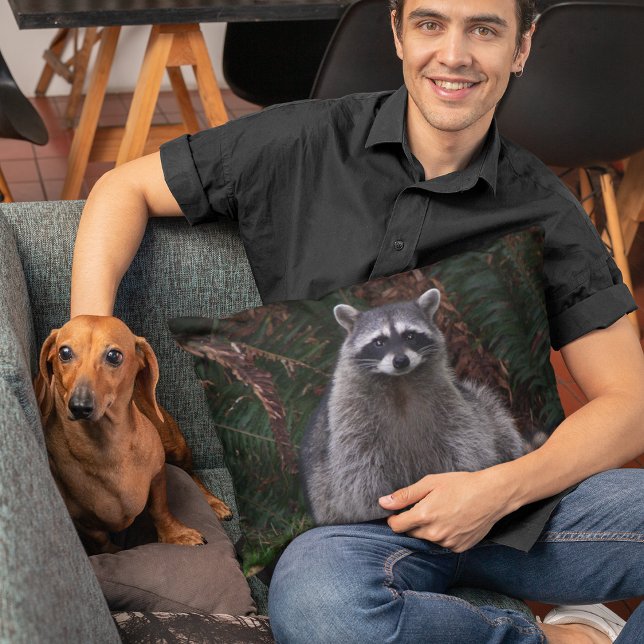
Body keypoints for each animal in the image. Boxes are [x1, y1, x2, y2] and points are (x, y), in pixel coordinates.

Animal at [300, 288, 531, 526]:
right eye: (379, 342)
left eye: (409, 336)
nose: (400, 361)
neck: (399, 380)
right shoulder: (348, 413)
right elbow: (358, 467)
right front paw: (380, 510)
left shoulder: (448, 400)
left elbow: (465, 441)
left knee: (495, 418)